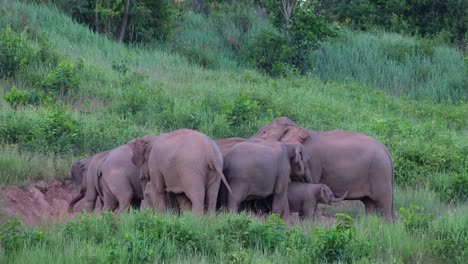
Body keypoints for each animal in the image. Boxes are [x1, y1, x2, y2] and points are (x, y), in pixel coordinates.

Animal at [252, 117, 394, 221]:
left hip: (380, 174)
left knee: (382, 203)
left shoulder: (313, 161)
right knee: (370, 204)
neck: (299, 128)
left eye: (264, 132)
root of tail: (387, 151)